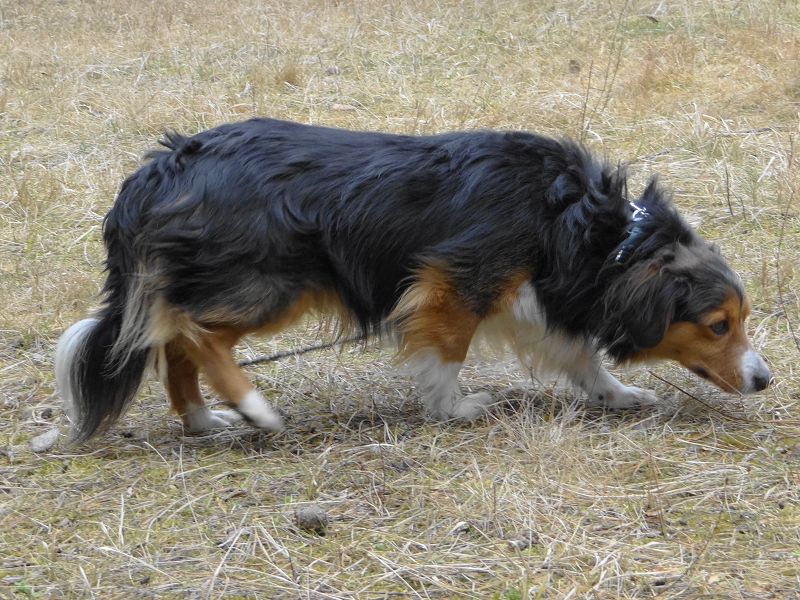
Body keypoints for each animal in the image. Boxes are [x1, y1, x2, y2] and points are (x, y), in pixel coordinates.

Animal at [55, 117, 772, 441]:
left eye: (741, 321)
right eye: (719, 326)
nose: (765, 379)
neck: (598, 230)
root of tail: (162, 166)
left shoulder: (531, 298)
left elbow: (579, 356)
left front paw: (616, 394)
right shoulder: (456, 284)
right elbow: (447, 353)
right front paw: (452, 407)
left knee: (173, 339)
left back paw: (205, 419)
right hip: (269, 286)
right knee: (196, 334)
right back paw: (254, 407)